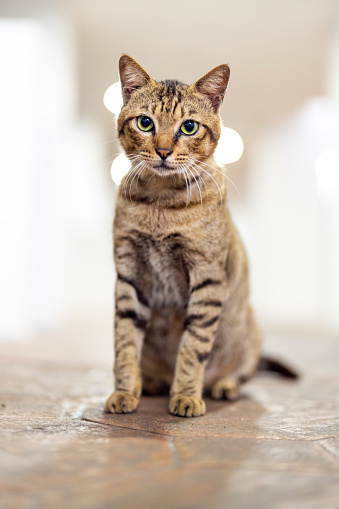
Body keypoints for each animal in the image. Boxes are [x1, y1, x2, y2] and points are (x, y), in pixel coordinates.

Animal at [105, 54, 264, 416]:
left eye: (189, 127)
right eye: (145, 123)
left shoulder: (207, 277)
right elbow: (124, 343)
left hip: (252, 332)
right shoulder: (130, 275)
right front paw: (125, 391)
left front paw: (187, 394)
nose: (163, 151)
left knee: (242, 371)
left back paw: (222, 385)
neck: (161, 204)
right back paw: (151, 383)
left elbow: (194, 346)